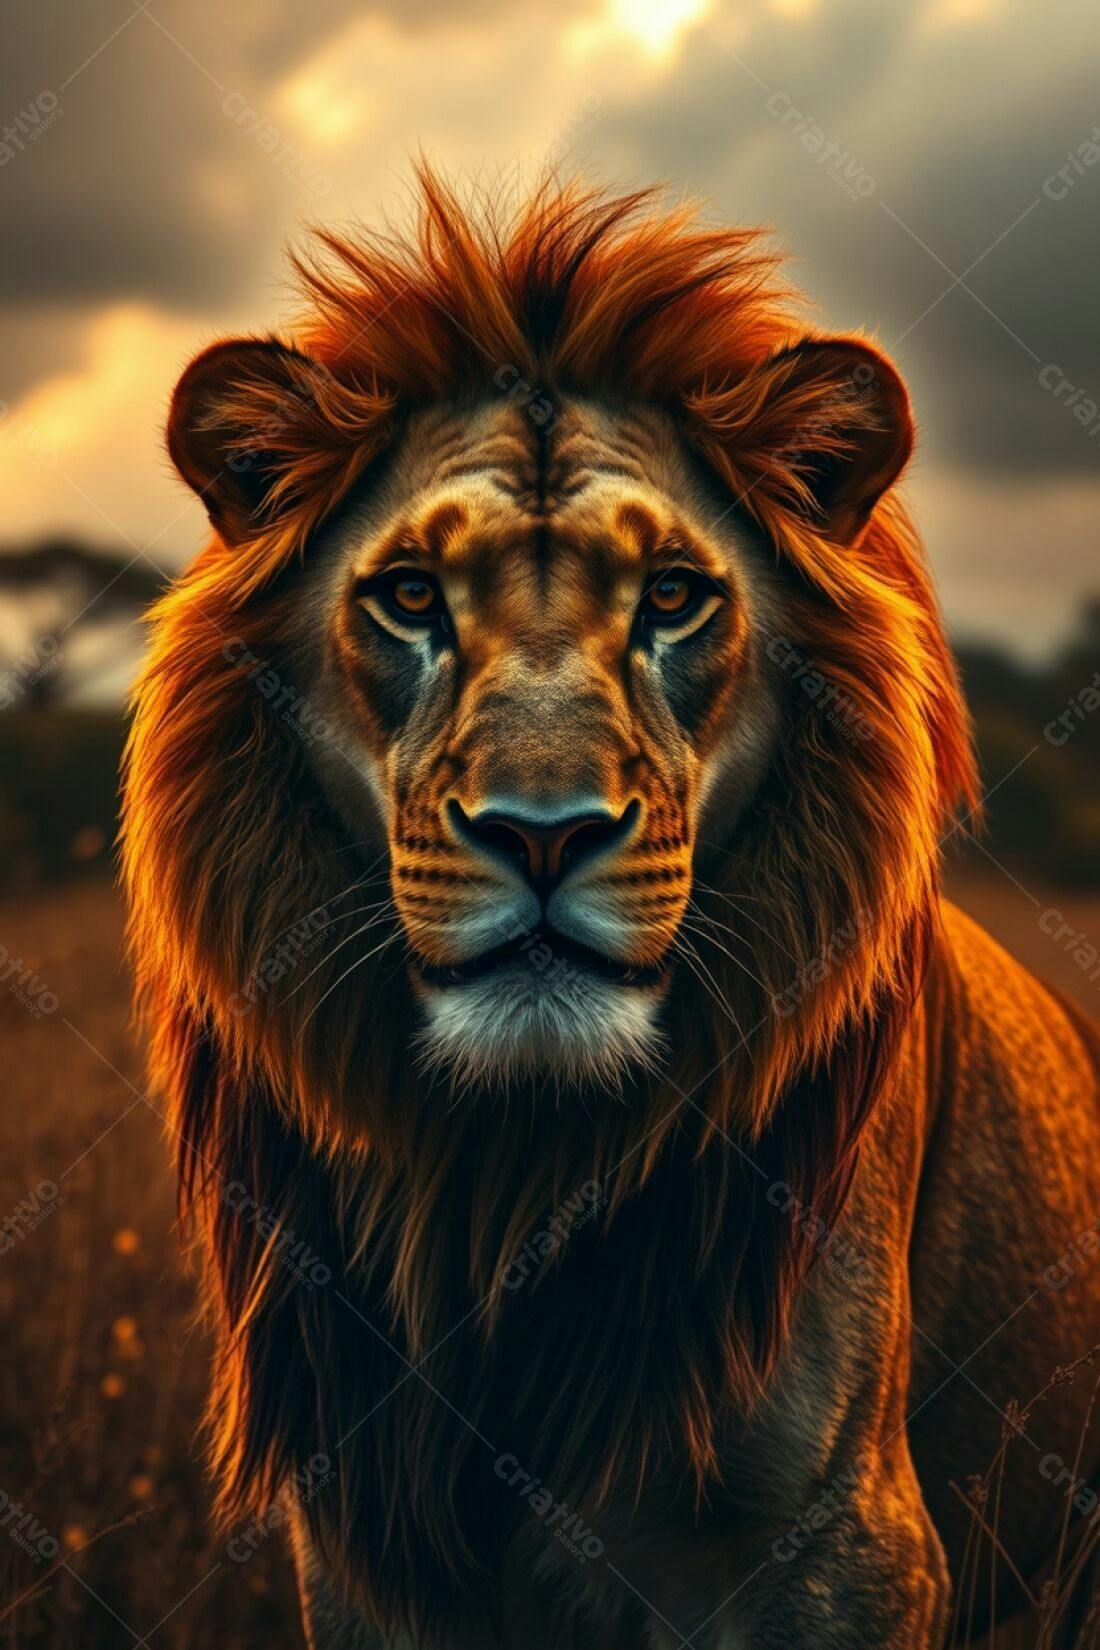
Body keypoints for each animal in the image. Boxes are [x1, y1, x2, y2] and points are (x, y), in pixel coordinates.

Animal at [122, 170, 1100, 1648]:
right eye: (410, 596)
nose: (544, 832)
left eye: (674, 597)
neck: (513, 1174)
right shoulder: (363, 1547)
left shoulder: (843, 1541)